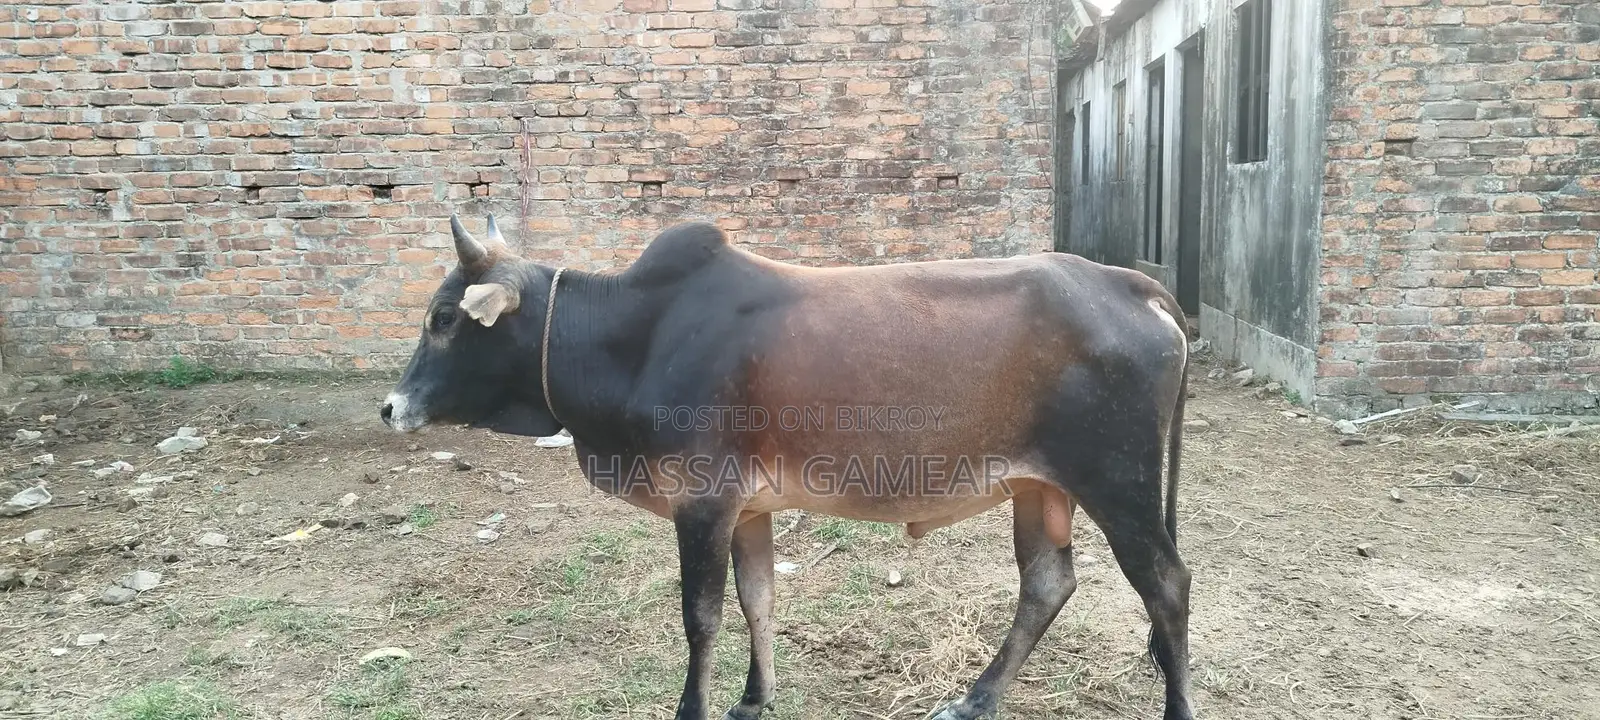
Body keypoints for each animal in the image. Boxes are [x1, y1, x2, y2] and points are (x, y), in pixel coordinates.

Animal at [380, 213, 1195, 720]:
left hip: (1119, 482)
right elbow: (758, 600)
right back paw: (975, 698)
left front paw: (693, 707)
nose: (391, 408)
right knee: (1048, 583)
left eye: (445, 319)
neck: (635, 336)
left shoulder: (702, 500)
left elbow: (702, 617)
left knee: (1167, 585)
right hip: (1039, 486)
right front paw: (753, 698)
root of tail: (1130, 282)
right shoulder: (749, 508)